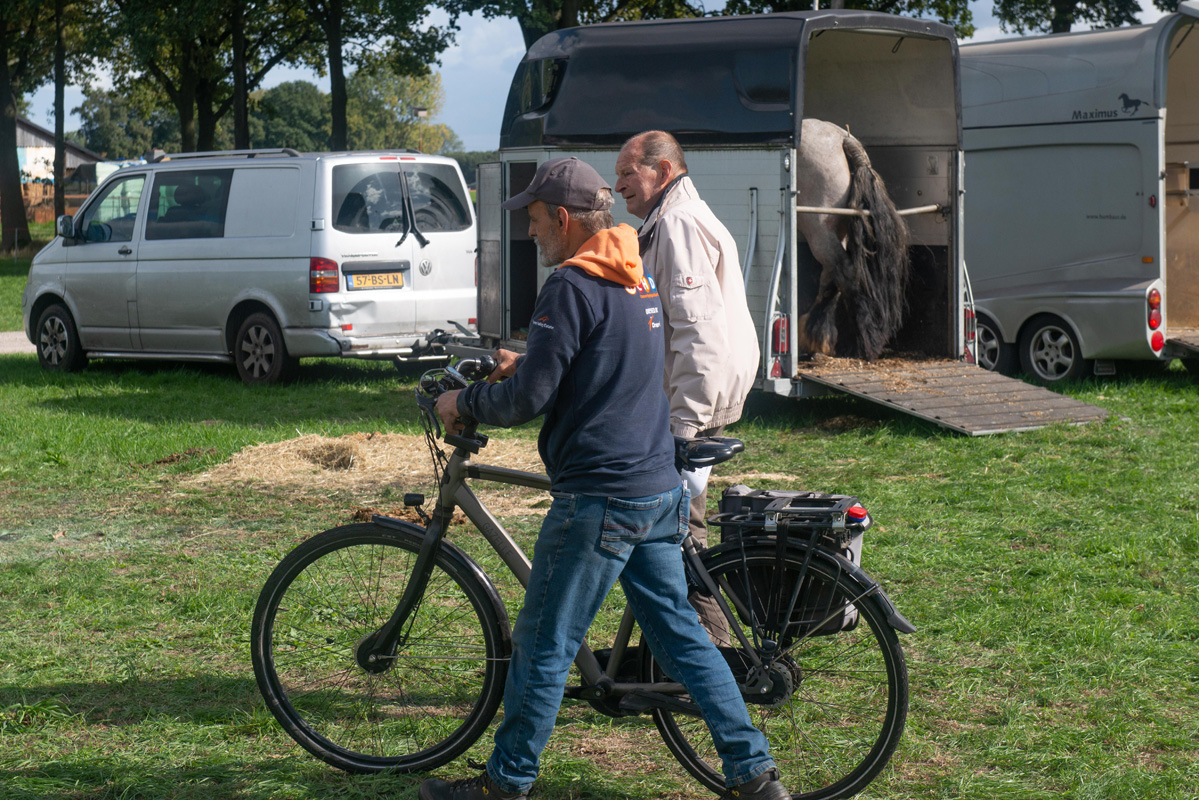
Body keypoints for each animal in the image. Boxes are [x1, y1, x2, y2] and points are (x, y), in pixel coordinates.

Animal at [794, 118, 910, 362]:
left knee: (844, 273)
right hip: (838, 233)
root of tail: (844, 138)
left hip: (819, 232)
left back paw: (860, 344)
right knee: (833, 277)